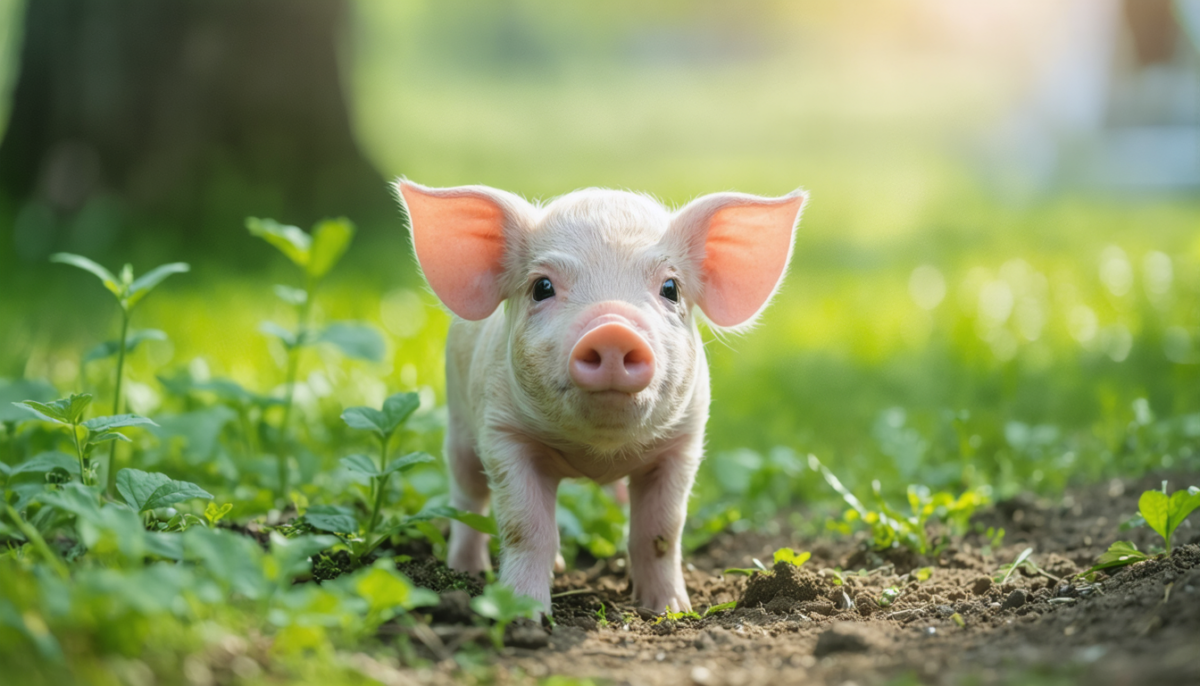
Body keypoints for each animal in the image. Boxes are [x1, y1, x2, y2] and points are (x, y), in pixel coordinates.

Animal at [396, 180, 806, 615]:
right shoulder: (504, 433)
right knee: (467, 497)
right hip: (458, 424)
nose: (613, 329)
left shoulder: (683, 442)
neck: (597, 454)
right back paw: (468, 571)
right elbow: (527, 528)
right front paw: (524, 613)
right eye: (542, 287)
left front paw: (671, 610)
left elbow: (661, 531)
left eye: (671, 288)